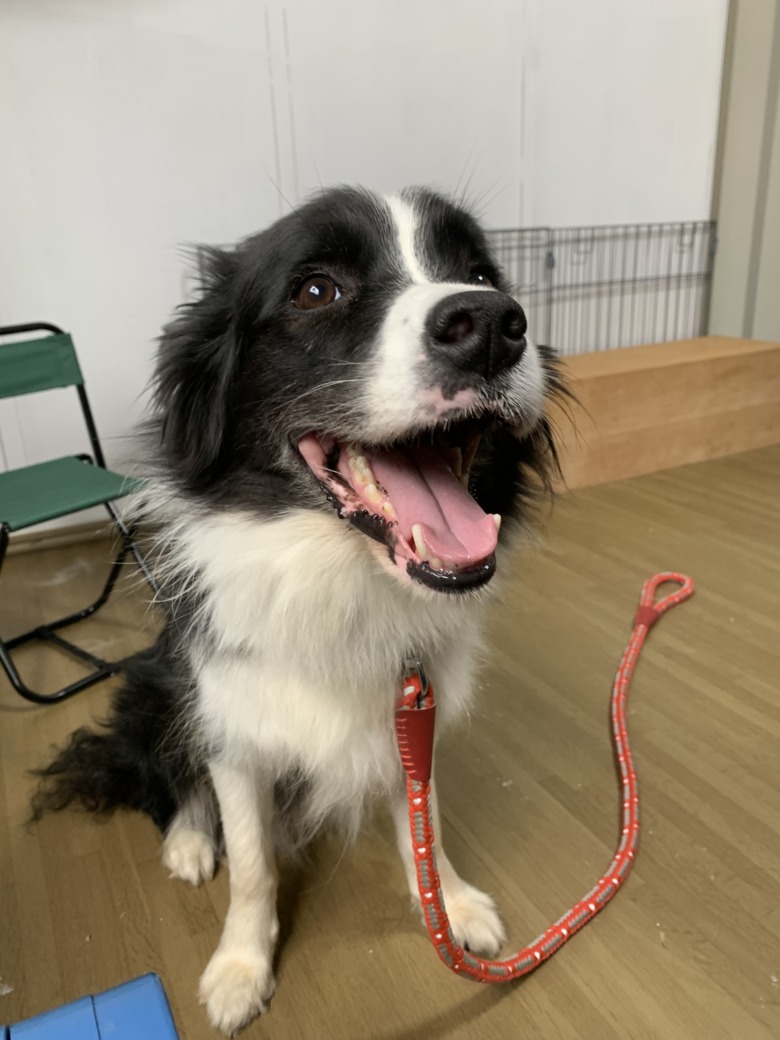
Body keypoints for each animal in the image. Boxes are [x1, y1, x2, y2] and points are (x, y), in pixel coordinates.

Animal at [32, 186, 564, 1035]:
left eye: (482, 272)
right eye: (316, 290)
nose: (490, 324)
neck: (341, 586)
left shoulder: (413, 714)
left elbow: (425, 823)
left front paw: (449, 903)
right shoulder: (234, 727)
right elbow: (252, 866)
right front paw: (239, 970)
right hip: (159, 684)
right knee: (168, 780)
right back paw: (190, 842)